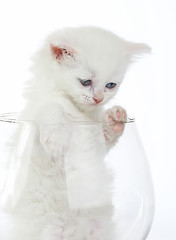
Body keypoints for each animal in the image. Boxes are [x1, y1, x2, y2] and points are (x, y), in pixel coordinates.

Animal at [0, 26, 151, 240]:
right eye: (85, 82)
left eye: (110, 85)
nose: (98, 99)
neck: (78, 112)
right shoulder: (33, 142)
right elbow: (51, 108)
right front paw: (57, 136)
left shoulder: (96, 142)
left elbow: (106, 136)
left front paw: (114, 119)